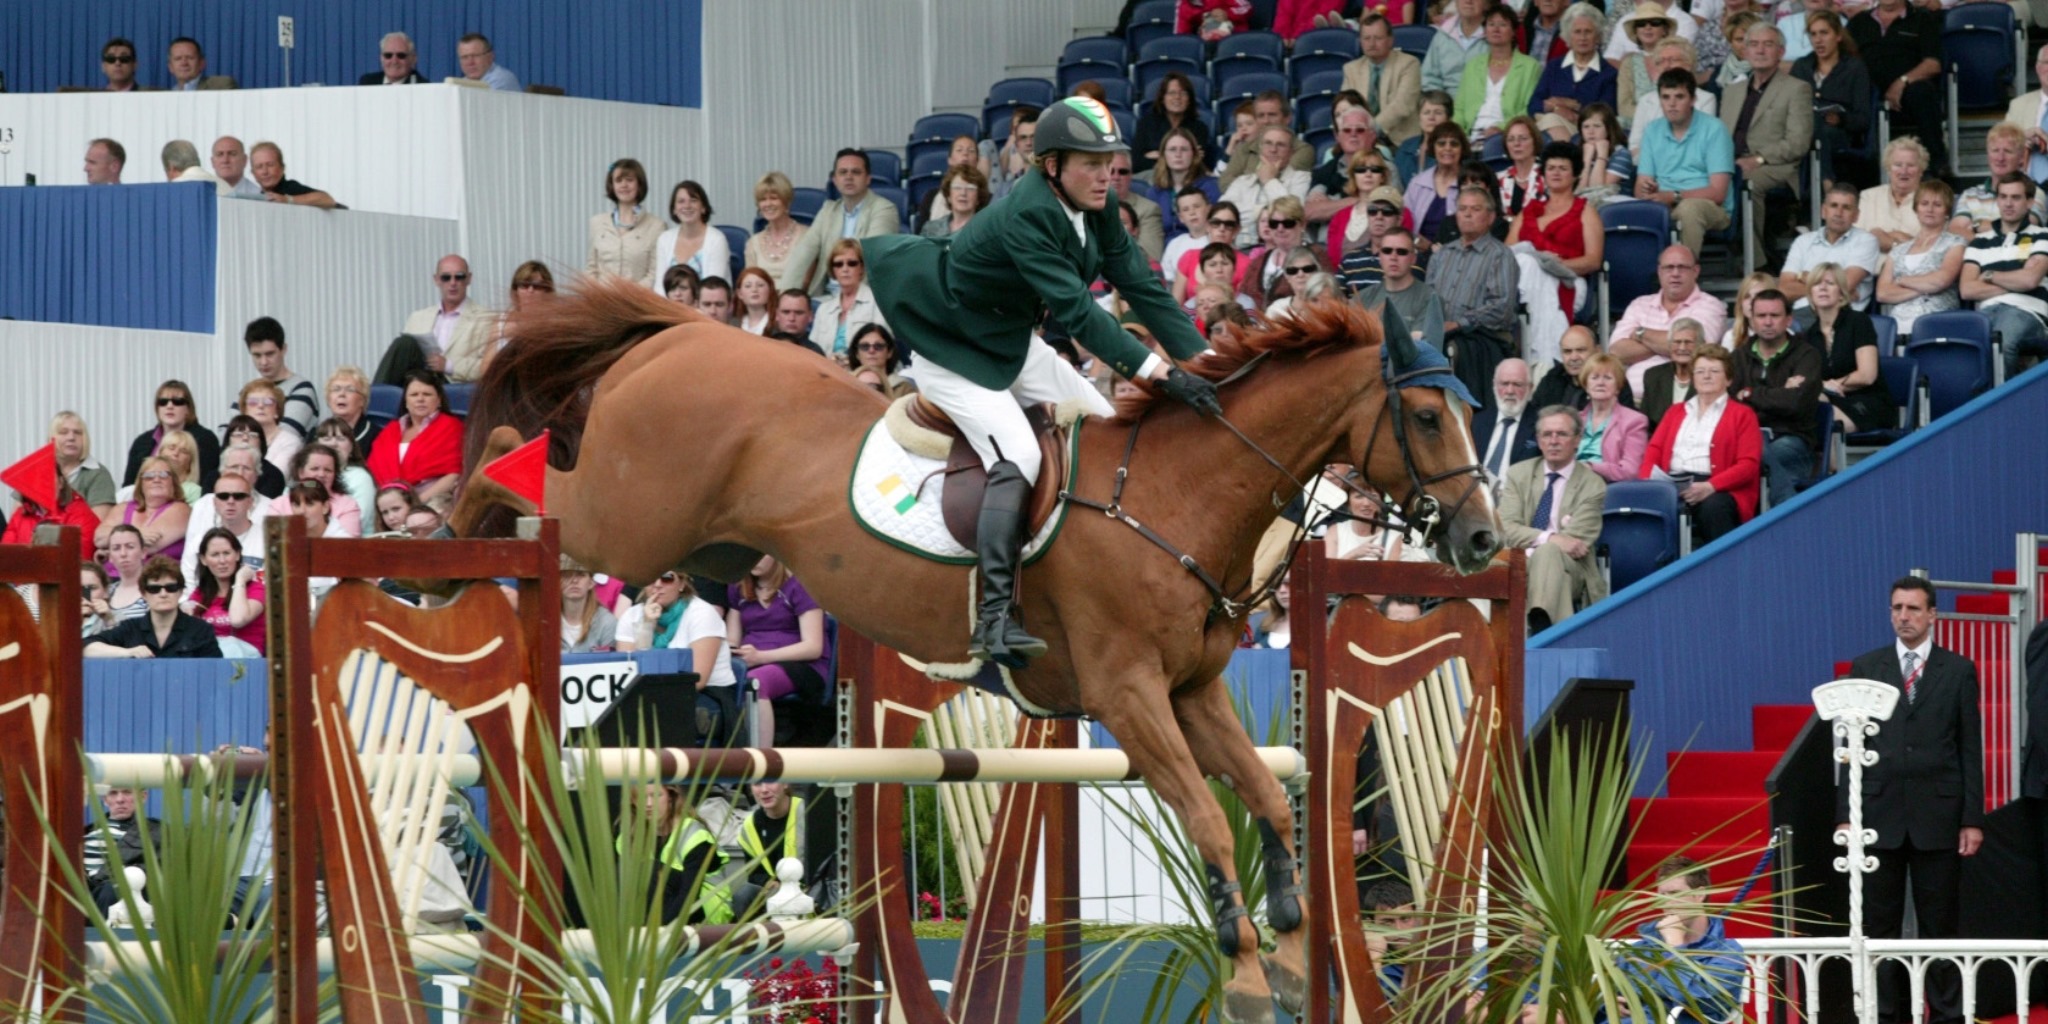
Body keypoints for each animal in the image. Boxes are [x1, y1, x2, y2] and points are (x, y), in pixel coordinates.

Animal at [448, 279, 1500, 1023]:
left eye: (1473, 411)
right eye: (1428, 416)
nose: (1486, 541)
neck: (1179, 494)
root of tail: (683, 333)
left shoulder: (1195, 692)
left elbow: (1272, 808)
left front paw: (1283, 961)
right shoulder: (1130, 698)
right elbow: (1209, 816)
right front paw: (1245, 980)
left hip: (706, 552)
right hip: (628, 525)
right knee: (510, 457)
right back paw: (457, 554)